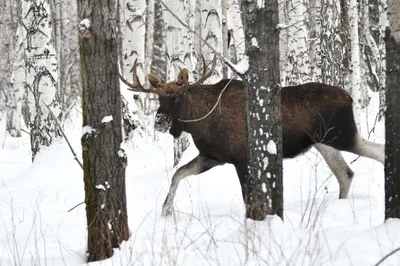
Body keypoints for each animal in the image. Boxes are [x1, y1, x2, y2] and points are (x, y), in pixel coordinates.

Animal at [119, 58, 384, 216]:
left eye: (176, 97)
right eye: (159, 98)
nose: (159, 121)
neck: (201, 123)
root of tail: (350, 97)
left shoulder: (240, 158)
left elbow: (248, 197)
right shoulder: (212, 157)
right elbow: (177, 174)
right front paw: (165, 211)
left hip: (343, 135)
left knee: (378, 152)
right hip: (324, 142)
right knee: (346, 173)